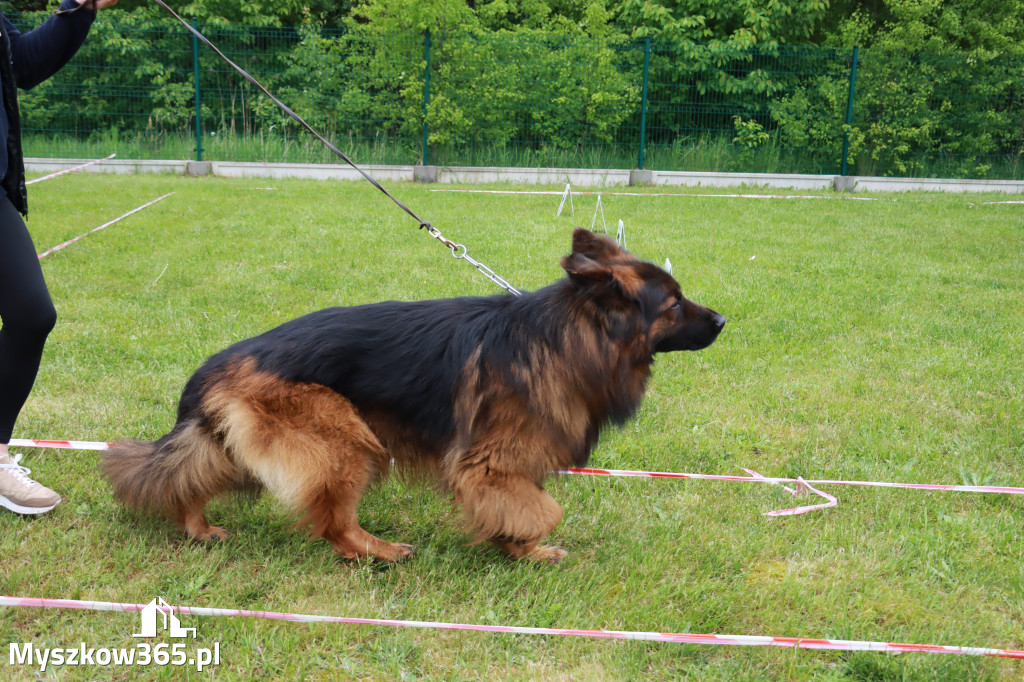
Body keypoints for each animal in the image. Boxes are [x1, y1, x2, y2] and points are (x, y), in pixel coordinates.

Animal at [103, 229, 724, 561]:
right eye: (673, 304)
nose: (722, 320)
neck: (564, 339)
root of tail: (221, 362)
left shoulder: (520, 460)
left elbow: (525, 510)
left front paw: (519, 551)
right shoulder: (490, 464)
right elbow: (542, 510)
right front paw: (527, 547)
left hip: (247, 446)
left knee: (190, 475)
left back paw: (196, 526)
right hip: (344, 441)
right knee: (334, 522)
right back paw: (375, 550)